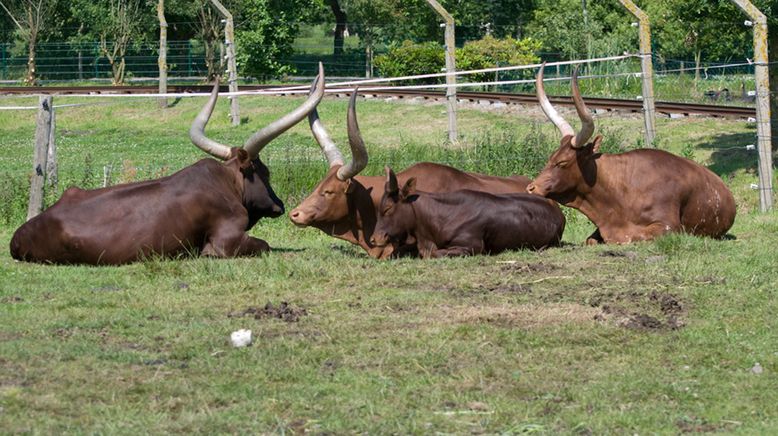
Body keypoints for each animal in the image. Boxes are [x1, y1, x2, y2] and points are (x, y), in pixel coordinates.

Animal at [11, 65, 328, 266]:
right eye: (265, 173)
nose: (280, 205)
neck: (227, 184)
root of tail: (18, 237)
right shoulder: (227, 241)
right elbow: (264, 245)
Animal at [520, 63, 732, 245]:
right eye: (551, 158)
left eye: (562, 163)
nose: (531, 188)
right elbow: (591, 240)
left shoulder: (669, 226)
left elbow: (631, 236)